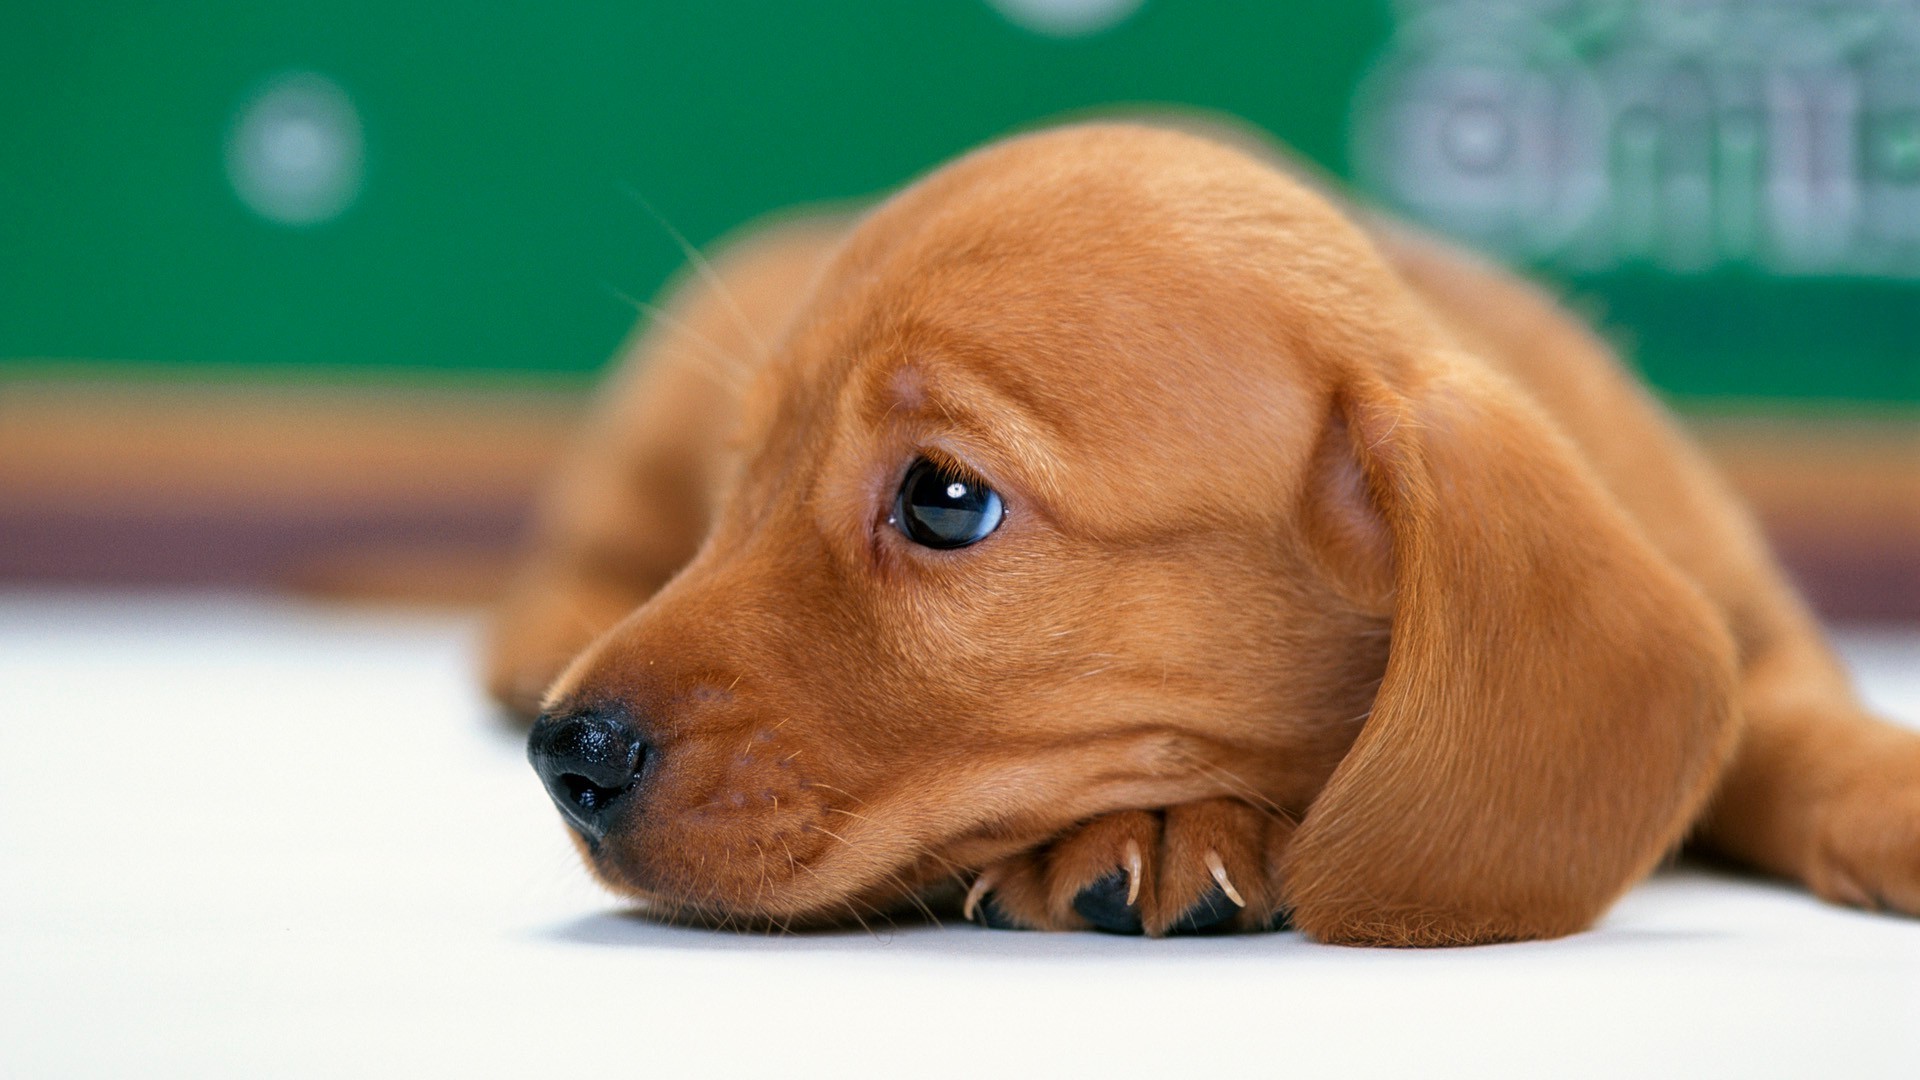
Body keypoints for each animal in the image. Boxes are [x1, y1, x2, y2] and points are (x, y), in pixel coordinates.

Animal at [483, 119, 1920, 941]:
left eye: (945, 498)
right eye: (748, 482)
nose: (567, 756)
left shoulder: (1754, 632)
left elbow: (1804, 734)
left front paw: (1891, 788)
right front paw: (1168, 827)